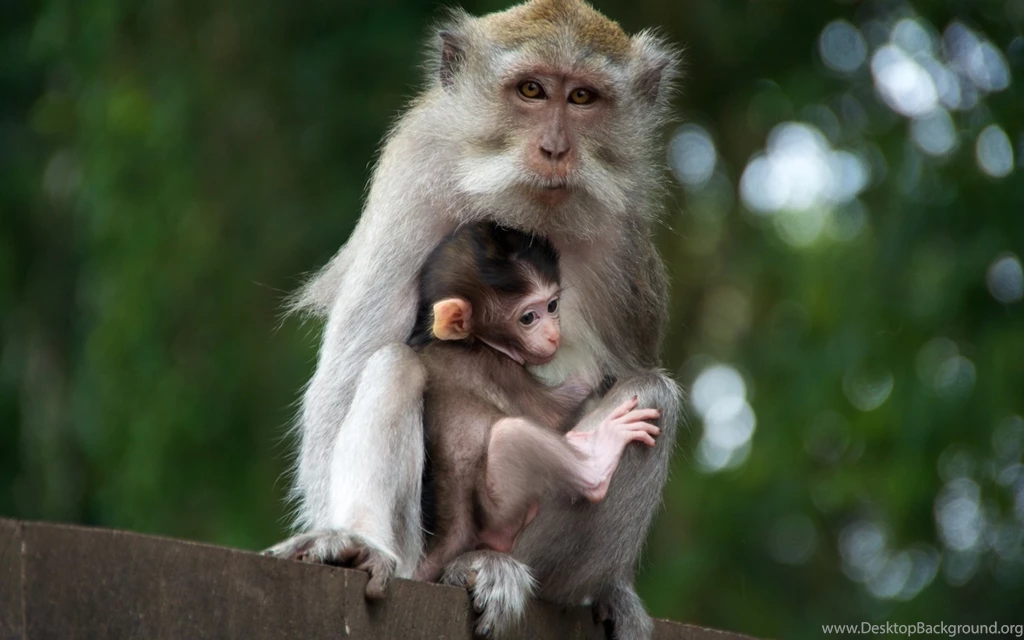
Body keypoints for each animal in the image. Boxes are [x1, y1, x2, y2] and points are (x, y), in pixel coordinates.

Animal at [407, 222, 661, 584]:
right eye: (528, 318)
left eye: (552, 306)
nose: (554, 335)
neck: (472, 341)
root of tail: (453, 532)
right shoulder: (499, 369)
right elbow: (552, 413)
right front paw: (595, 374)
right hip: (500, 515)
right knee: (511, 435)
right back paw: (597, 458)